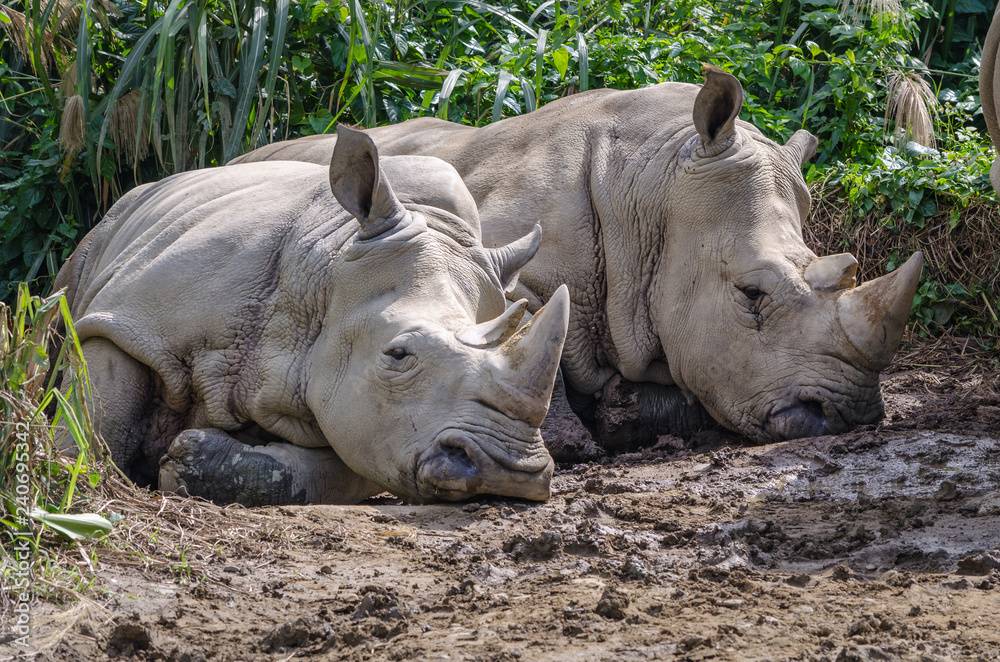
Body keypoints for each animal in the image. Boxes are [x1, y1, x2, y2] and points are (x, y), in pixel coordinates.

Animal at [56, 127, 572, 506]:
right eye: (398, 355)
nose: (509, 472)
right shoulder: (131, 320)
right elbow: (95, 411)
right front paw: (73, 476)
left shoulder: (370, 423)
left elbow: (331, 471)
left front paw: (189, 462)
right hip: (106, 229)